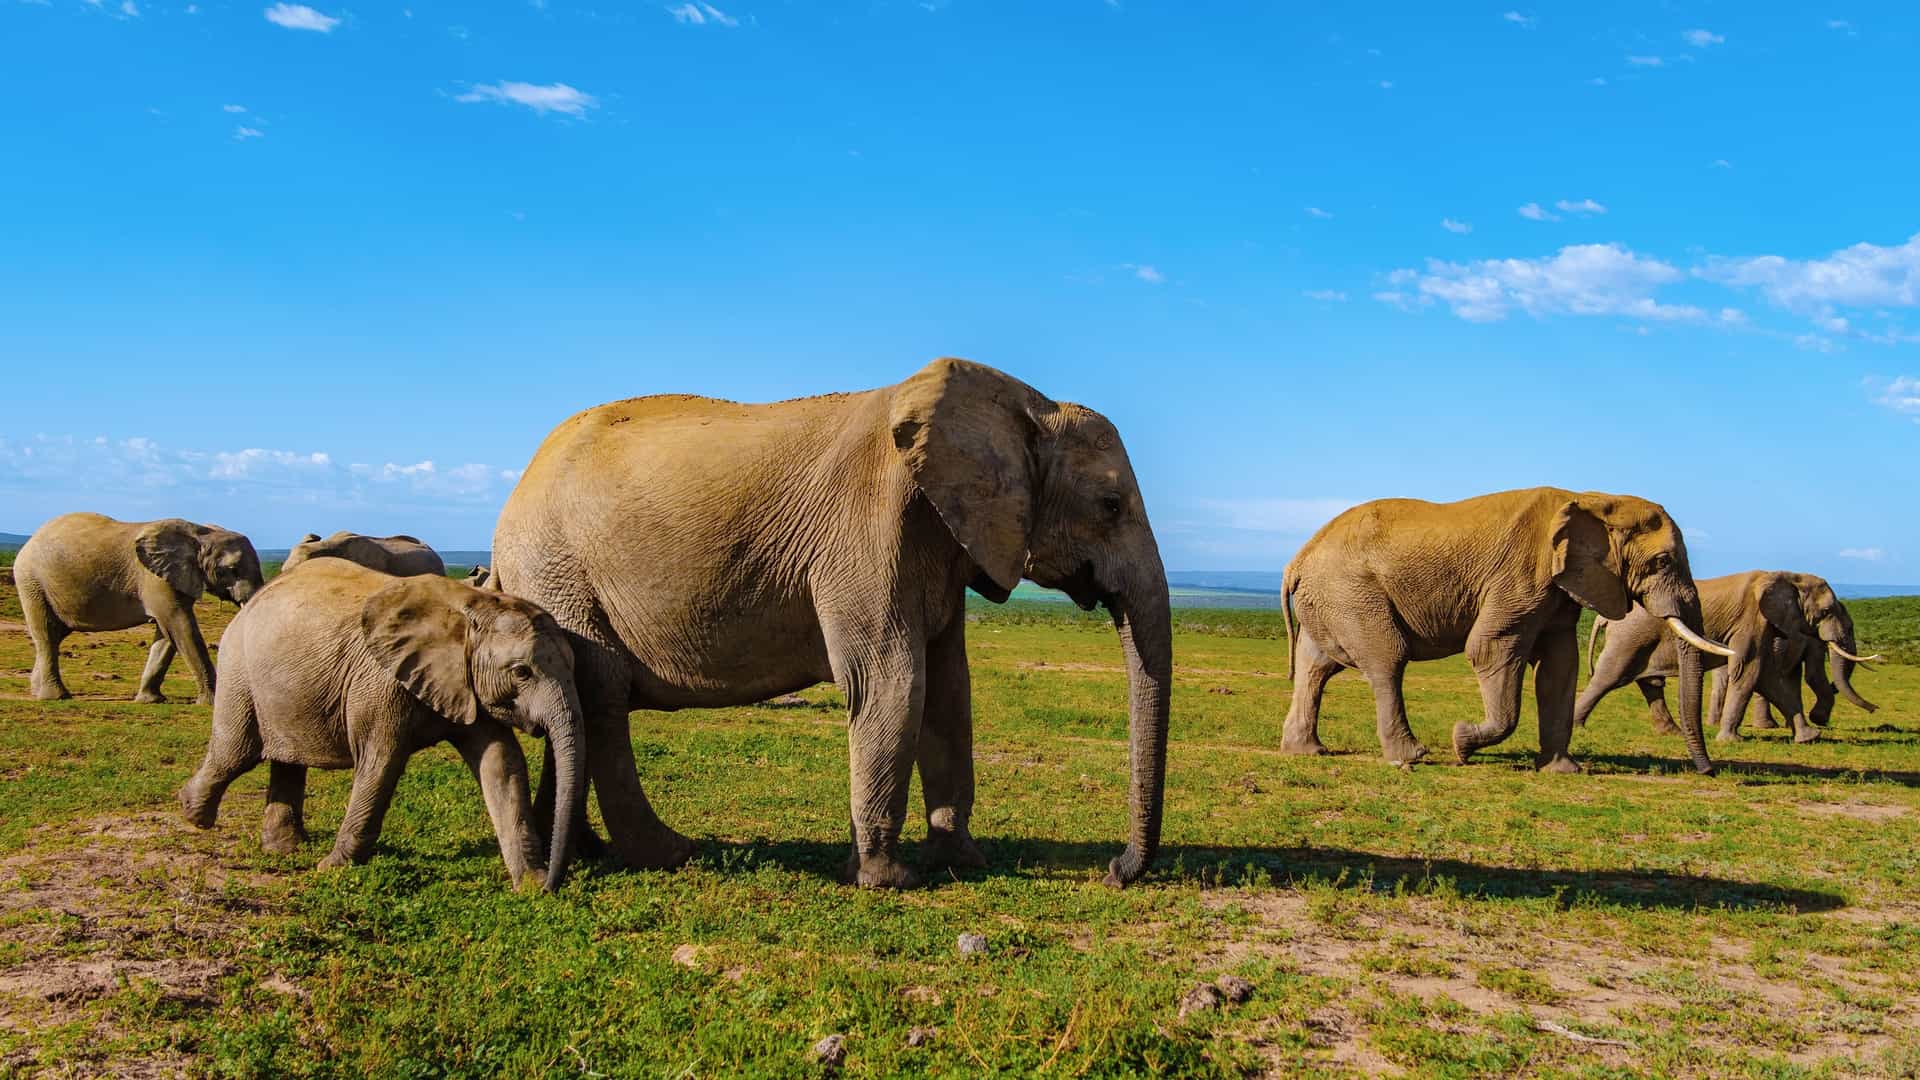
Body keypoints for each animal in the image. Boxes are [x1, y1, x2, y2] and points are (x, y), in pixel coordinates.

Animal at [13, 512, 264, 705]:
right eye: (231, 570)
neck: (201, 533)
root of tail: (30, 541)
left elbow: (166, 635)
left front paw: (151, 701)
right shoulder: (155, 579)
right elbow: (180, 626)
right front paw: (211, 703)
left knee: (55, 635)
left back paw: (37, 691)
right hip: (31, 581)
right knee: (46, 633)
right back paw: (56, 697)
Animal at [177, 560, 586, 890]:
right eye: (521, 672)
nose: (553, 884)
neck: (472, 605)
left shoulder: (465, 684)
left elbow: (501, 764)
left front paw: (529, 885)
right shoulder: (380, 682)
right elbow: (380, 764)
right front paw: (332, 869)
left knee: (287, 762)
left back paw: (284, 849)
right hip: (239, 671)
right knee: (236, 752)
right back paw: (192, 813)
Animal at [492, 357, 1172, 890]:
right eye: (1111, 506)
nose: (1115, 871)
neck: (1026, 403)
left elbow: (950, 691)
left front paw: (961, 863)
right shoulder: (866, 528)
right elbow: (893, 681)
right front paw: (887, 881)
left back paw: (586, 852)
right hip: (558, 569)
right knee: (604, 697)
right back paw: (670, 854)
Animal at [1280, 488, 1733, 774]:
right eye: (1662, 561)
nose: (1709, 773)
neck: (1594, 499)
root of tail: (1295, 560)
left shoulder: (1560, 589)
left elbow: (1559, 668)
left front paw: (1564, 771)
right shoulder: (1520, 577)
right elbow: (1489, 649)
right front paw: (1461, 742)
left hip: (1330, 599)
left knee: (1316, 667)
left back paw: (1307, 752)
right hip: (1352, 594)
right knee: (1387, 660)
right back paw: (1412, 757)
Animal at [1577, 571, 1880, 743]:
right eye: (1827, 611)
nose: (1875, 709)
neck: (1788, 576)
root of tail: (1604, 616)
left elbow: (1767, 678)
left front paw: (1808, 737)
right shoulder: (1752, 620)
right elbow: (1748, 671)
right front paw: (1730, 741)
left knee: (1648, 683)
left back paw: (1672, 733)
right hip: (1630, 636)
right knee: (1609, 676)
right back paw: (1578, 726)